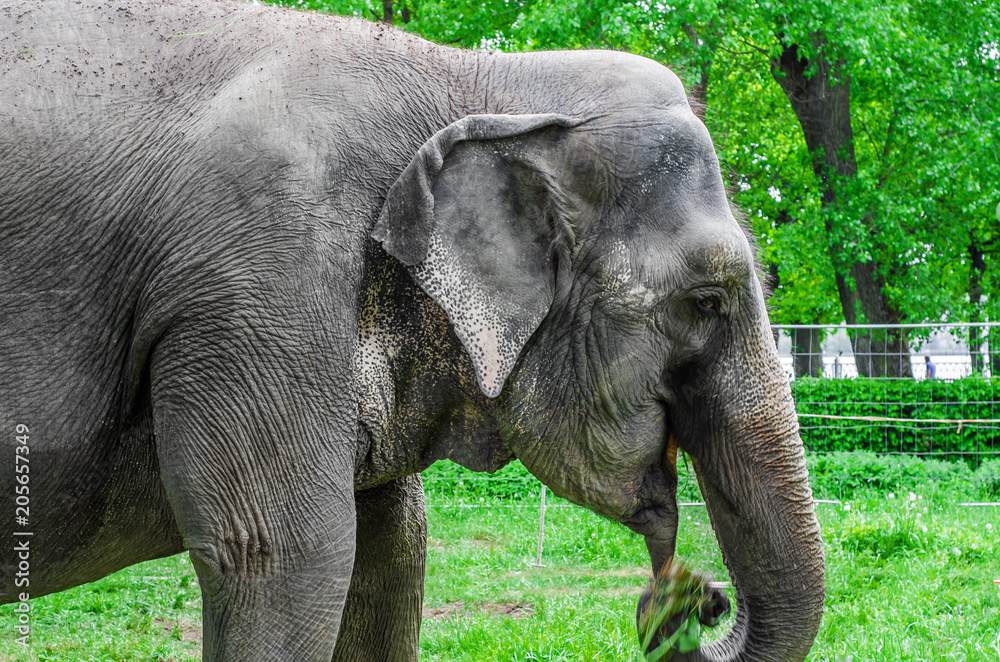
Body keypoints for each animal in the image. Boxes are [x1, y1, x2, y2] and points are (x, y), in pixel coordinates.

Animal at [0, 0, 825, 660]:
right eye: (706, 301)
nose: (692, 591)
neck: (482, 79)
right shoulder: (257, 284)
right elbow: (283, 555)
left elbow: (393, 552)